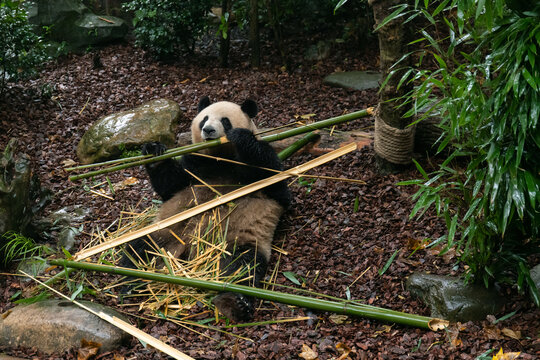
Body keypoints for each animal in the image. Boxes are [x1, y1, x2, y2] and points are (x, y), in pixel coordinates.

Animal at [122, 95, 292, 320]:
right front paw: (153, 150)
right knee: (142, 249)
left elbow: (277, 186)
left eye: (225, 121)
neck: (219, 158)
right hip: (168, 232)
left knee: (242, 266)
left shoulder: (263, 174)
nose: (208, 130)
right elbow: (171, 186)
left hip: (235, 241)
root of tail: (190, 251)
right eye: (204, 119)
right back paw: (129, 282)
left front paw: (241, 138)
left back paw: (234, 302)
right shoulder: (195, 164)